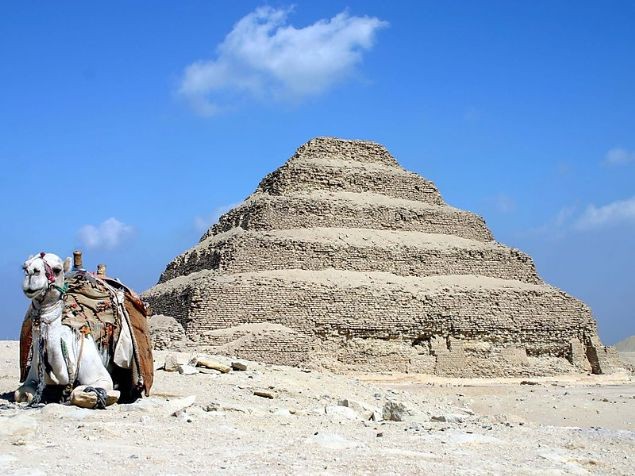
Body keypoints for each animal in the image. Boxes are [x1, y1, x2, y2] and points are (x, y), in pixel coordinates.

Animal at [14, 251, 154, 408]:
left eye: (57, 269)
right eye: (24, 267)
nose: (32, 273)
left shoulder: (100, 377)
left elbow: (79, 393)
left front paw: (109, 396)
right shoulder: (31, 377)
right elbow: (20, 394)